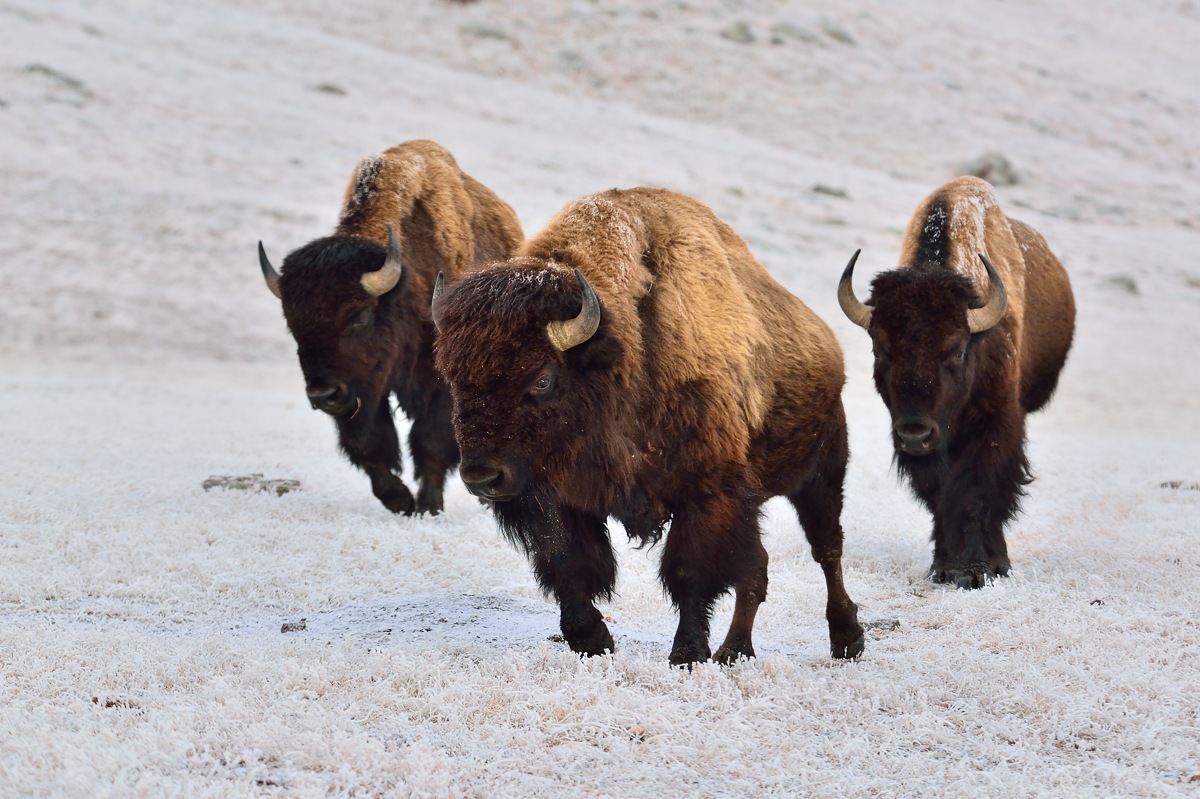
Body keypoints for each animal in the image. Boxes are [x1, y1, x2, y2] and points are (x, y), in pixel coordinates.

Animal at [258, 140, 523, 515]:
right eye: (292, 324)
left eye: (360, 316)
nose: (322, 395)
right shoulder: (363, 390)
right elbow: (367, 442)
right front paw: (399, 499)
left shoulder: (439, 384)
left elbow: (431, 440)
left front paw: (428, 505)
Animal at [431, 187, 865, 666]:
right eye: (451, 376)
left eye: (542, 378)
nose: (482, 477)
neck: (626, 350)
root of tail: (828, 344)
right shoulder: (560, 498)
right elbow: (568, 563)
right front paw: (593, 640)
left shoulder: (706, 492)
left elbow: (689, 572)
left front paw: (687, 653)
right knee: (757, 569)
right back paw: (735, 651)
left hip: (822, 472)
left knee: (826, 548)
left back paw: (847, 639)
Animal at [837, 176, 1075, 588]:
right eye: (879, 350)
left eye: (958, 349)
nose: (915, 435)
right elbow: (940, 494)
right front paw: (945, 566)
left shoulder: (996, 423)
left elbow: (977, 490)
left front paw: (980, 569)